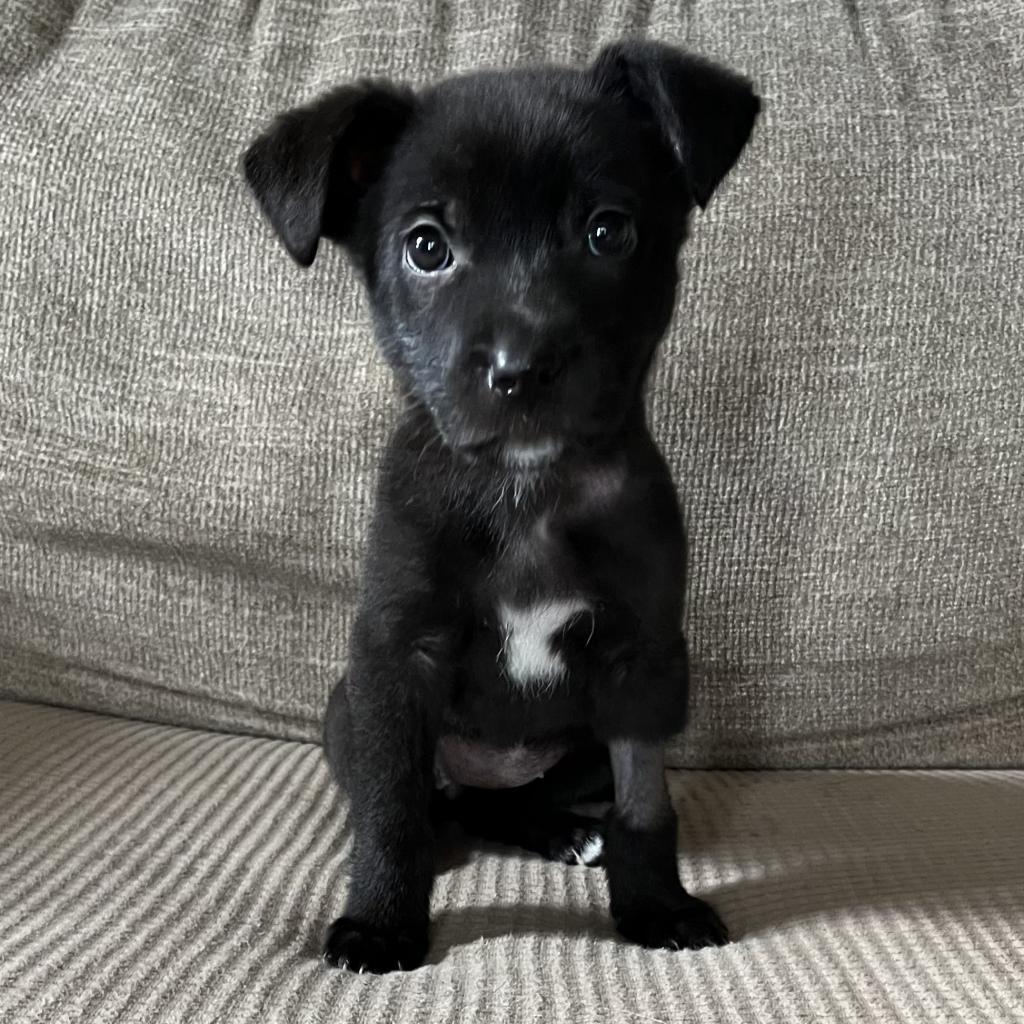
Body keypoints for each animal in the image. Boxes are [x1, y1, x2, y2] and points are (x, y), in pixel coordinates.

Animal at [243, 39, 761, 970]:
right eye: (426, 247)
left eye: (608, 231)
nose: (521, 369)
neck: (527, 492)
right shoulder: (394, 657)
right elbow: (392, 810)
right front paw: (382, 920)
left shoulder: (640, 663)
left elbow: (645, 803)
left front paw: (655, 904)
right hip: (348, 710)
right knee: (426, 797)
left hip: (586, 739)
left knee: (514, 802)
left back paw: (558, 830)